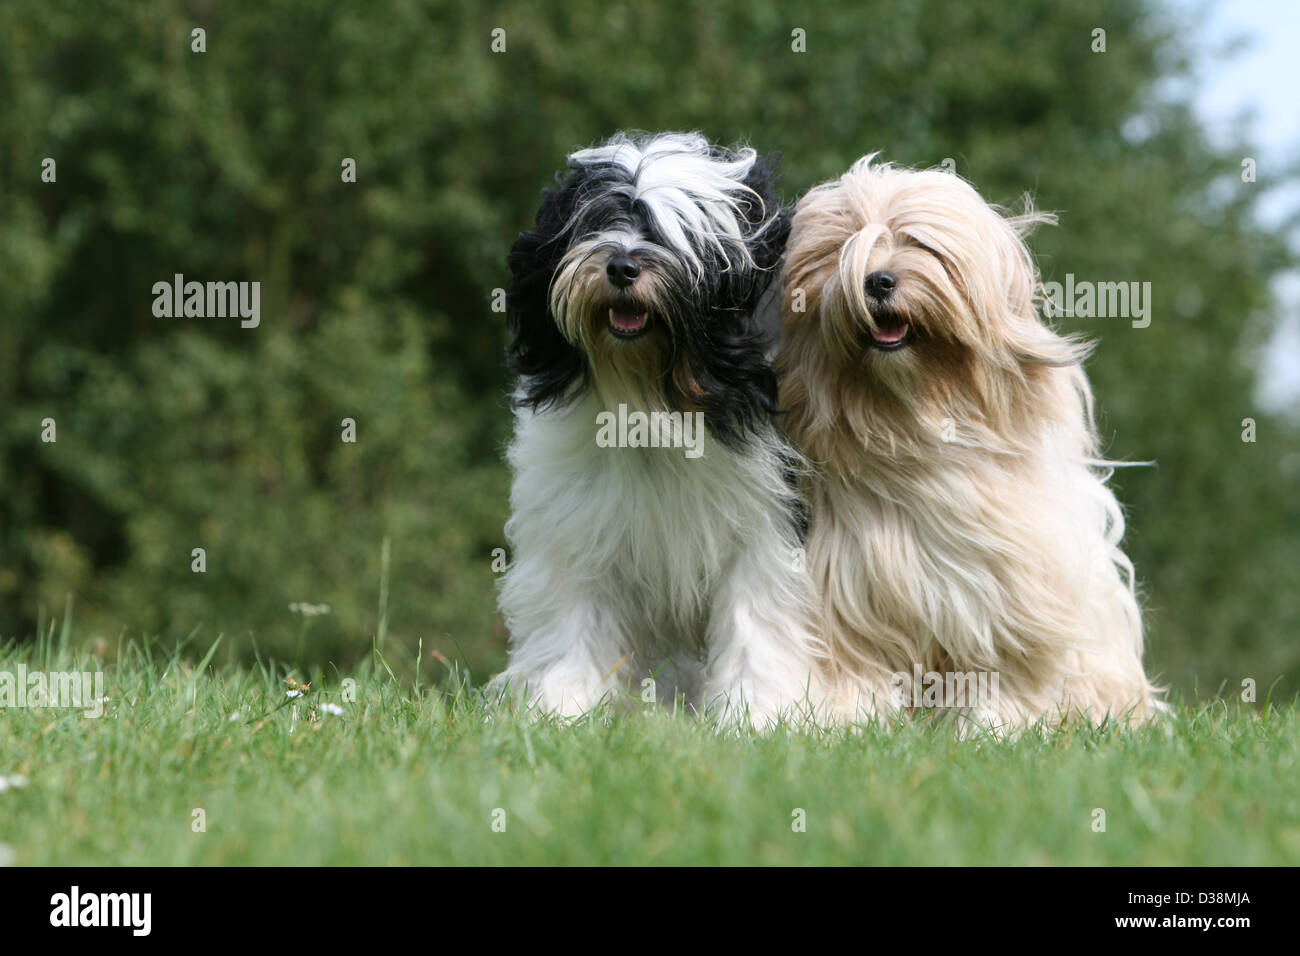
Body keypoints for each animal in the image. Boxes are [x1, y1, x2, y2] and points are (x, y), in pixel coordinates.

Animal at [491, 130, 826, 723]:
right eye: (593, 223)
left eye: (682, 238)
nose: (623, 265)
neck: (656, 403)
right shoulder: (580, 525)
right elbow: (576, 620)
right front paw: (563, 706)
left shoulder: (764, 523)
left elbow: (755, 620)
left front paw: (754, 714)